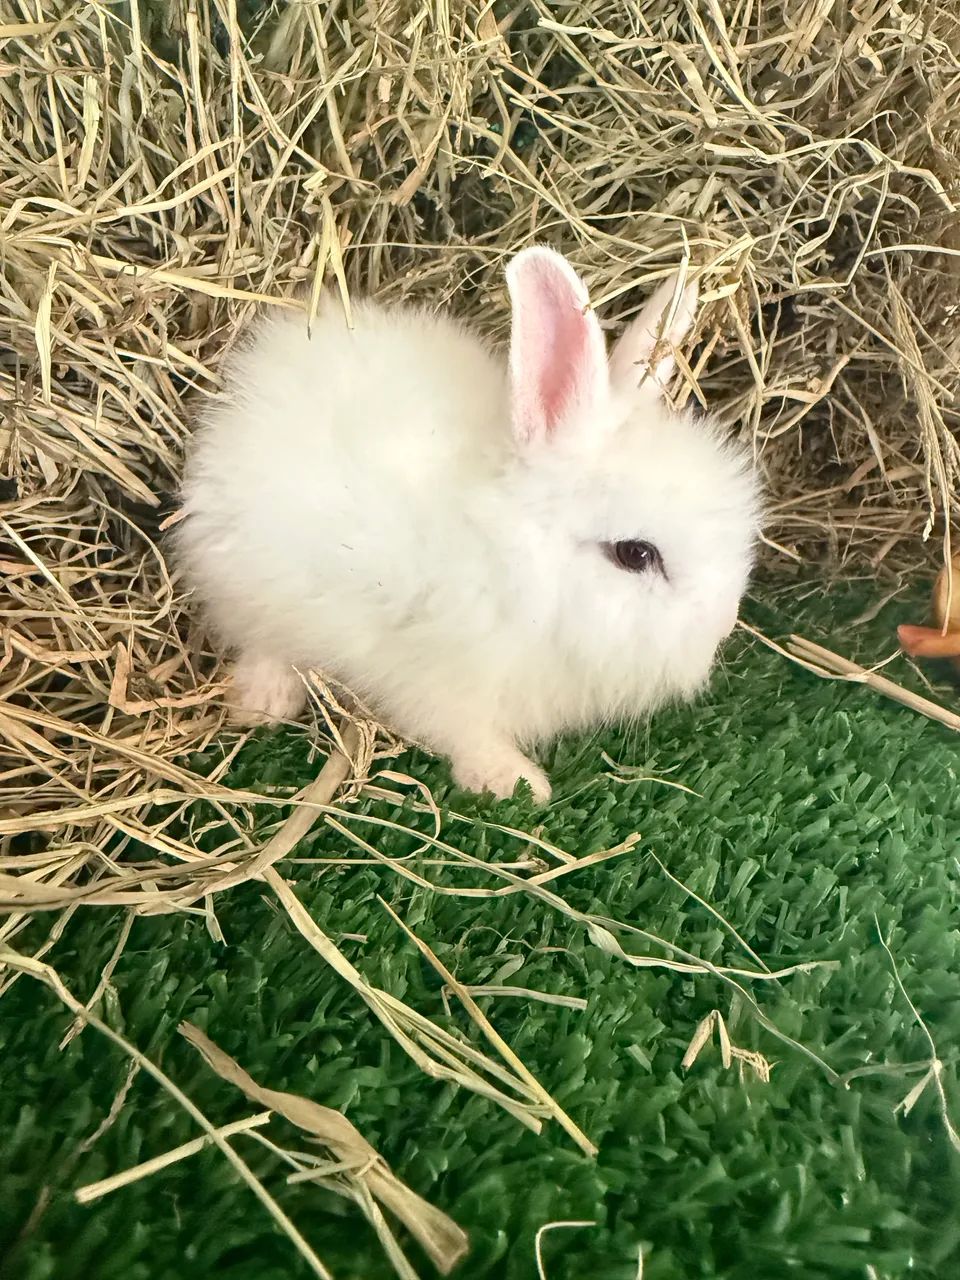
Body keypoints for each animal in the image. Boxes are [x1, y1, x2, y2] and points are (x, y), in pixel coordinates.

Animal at [177, 247, 760, 803]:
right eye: (635, 554)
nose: (723, 626)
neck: (518, 561)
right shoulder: (437, 679)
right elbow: (462, 733)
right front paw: (514, 782)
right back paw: (264, 701)